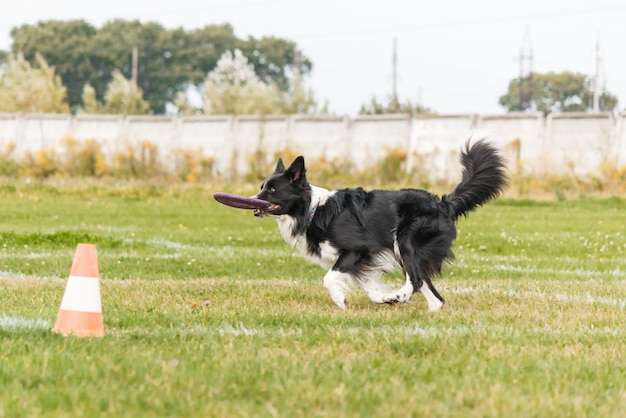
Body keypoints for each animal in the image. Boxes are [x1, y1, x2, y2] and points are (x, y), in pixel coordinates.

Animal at [254, 140, 508, 310]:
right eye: (261, 186)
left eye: (272, 189)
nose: (253, 201)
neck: (312, 210)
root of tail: (443, 203)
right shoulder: (359, 262)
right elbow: (371, 289)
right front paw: (384, 299)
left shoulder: (358, 250)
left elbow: (329, 278)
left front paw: (340, 300)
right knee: (434, 296)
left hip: (405, 240)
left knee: (416, 280)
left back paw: (402, 295)